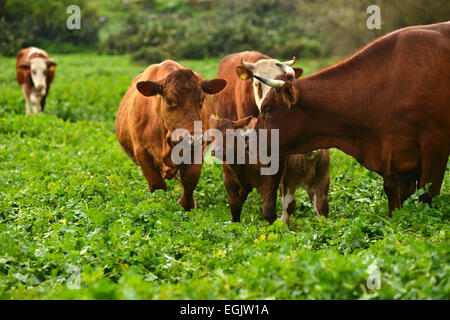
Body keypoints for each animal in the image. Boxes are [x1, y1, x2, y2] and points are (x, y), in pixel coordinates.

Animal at [116, 59, 227, 210]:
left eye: (202, 100)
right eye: (169, 101)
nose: (193, 138)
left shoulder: (198, 149)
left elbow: (190, 180)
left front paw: (187, 205)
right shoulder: (141, 151)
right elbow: (156, 184)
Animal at [253, 22, 450, 216]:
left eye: (268, 110)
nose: (249, 142)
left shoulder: (435, 147)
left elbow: (426, 196)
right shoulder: (393, 157)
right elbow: (395, 197)